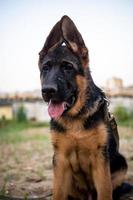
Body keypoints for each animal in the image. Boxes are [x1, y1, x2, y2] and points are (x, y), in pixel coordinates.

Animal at [38, 15, 132, 200]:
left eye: (68, 67)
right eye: (45, 68)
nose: (47, 91)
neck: (75, 115)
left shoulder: (100, 160)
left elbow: (105, 192)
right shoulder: (60, 161)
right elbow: (57, 193)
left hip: (121, 163)